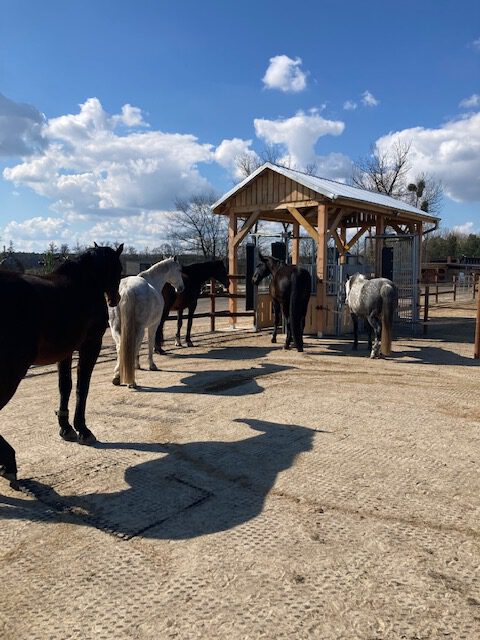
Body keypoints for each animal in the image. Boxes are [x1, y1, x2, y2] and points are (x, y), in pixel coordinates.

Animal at [0, 244, 124, 484]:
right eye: (118, 268)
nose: (116, 299)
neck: (83, 284)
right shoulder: (90, 345)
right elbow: (82, 387)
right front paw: (83, 430)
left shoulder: (65, 352)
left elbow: (64, 386)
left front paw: (66, 428)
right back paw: (8, 462)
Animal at [109, 258, 185, 388]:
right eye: (179, 270)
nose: (181, 288)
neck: (153, 282)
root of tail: (127, 289)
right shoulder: (152, 326)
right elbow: (150, 343)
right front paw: (152, 365)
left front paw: (136, 365)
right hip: (138, 329)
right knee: (132, 346)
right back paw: (131, 382)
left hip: (116, 329)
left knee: (120, 348)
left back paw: (117, 377)